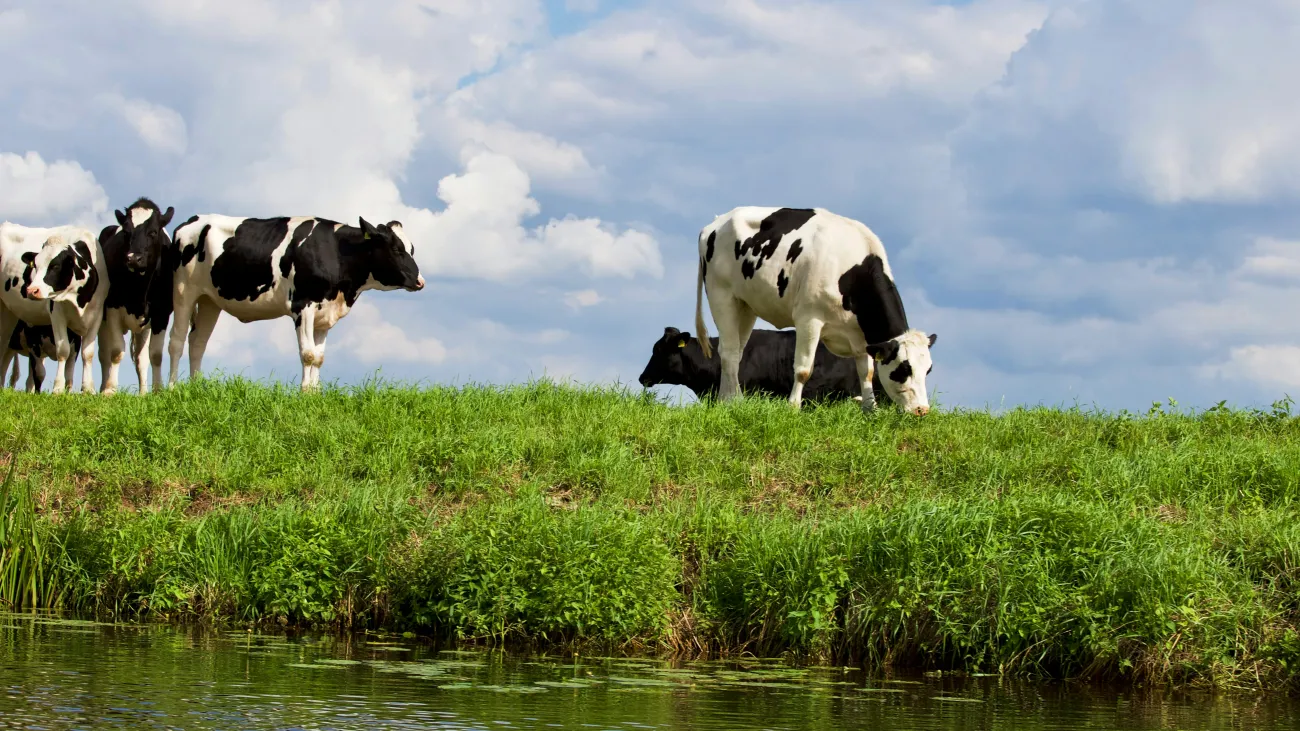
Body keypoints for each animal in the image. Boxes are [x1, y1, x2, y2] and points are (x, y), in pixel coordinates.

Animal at [0, 223, 107, 394]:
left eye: (55, 266)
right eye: (35, 265)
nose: (31, 290)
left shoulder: (96, 314)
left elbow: (88, 353)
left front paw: (88, 389)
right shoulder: (56, 314)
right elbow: (63, 351)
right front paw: (57, 388)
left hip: (9, 313)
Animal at [97, 197, 175, 395]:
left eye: (153, 232)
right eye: (126, 231)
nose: (133, 258)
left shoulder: (161, 313)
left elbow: (155, 354)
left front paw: (156, 390)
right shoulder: (112, 308)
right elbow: (116, 351)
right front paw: (110, 390)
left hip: (143, 328)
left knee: (141, 358)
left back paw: (142, 392)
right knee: (103, 355)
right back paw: (101, 387)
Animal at [166, 215, 425, 391]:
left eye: (412, 249)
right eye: (396, 249)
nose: (420, 281)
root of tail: (192, 220)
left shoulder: (324, 313)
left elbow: (319, 357)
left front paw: (315, 394)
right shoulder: (303, 305)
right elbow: (308, 354)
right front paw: (304, 393)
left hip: (209, 300)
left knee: (198, 342)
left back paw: (196, 389)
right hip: (183, 291)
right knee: (176, 341)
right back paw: (171, 389)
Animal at [694, 207, 936, 416]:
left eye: (928, 370)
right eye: (904, 369)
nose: (922, 410)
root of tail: (716, 222)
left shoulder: (859, 336)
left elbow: (865, 372)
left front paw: (870, 410)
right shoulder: (808, 319)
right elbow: (803, 369)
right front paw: (793, 407)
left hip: (745, 305)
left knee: (736, 352)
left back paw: (728, 400)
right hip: (721, 295)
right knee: (728, 351)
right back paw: (733, 400)